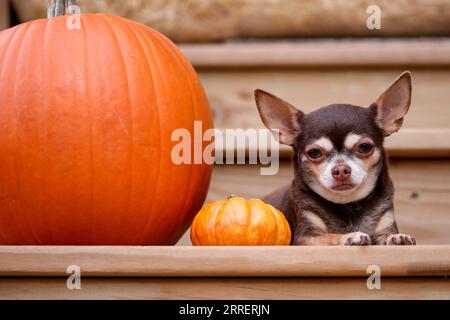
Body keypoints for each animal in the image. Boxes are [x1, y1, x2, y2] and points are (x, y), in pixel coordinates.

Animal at [255, 72, 416, 246]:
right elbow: (331, 236)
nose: (341, 170)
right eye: (314, 153)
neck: (348, 205)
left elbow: (388, 235)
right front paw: (350, 236)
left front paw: (397, 238)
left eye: (365, 147)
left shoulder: (385, 223)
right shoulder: (306, 237)